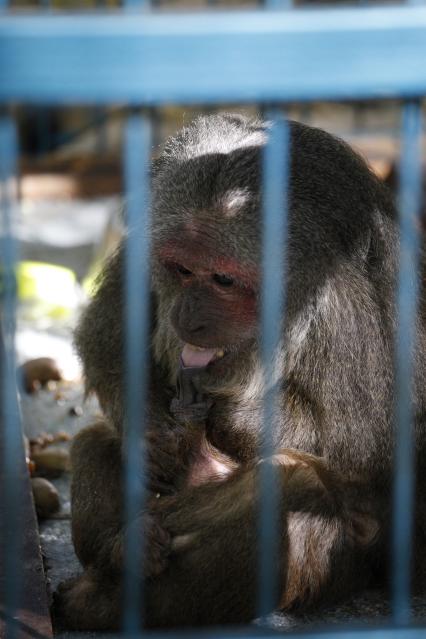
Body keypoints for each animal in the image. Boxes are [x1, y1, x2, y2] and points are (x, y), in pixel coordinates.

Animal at [55, 114, 426, 632]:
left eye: (225, 280)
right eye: (182, 269)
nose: (188, 318)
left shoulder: (344, 304)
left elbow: (372, 446)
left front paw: (235, 416)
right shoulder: (142, 252)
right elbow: (106, 339)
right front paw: (150, 434)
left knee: (295, 486)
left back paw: (109, 595)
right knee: (96, 441)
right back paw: (122, 552)